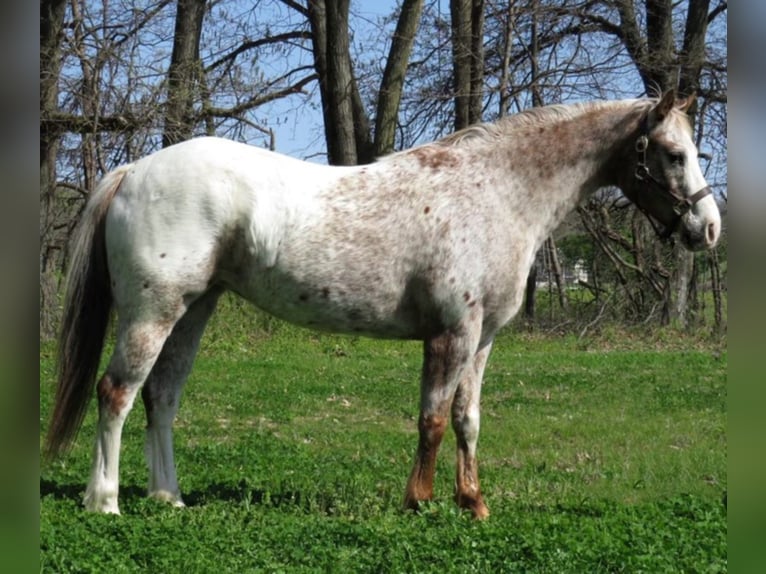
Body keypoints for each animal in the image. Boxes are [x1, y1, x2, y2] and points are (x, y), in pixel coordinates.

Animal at [46, 92, 720, 520]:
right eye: (674, 153)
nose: (708, 229)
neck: (498, 190)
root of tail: (134, 170)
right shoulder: (451, 334)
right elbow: (433, 419)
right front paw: (418, 501)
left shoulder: (482, 340)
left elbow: (468, 421)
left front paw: (473, 504)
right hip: (153, 312)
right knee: (117, 393)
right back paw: (104, 501)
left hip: (195, 309)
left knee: (161, 397)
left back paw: (169, 498)